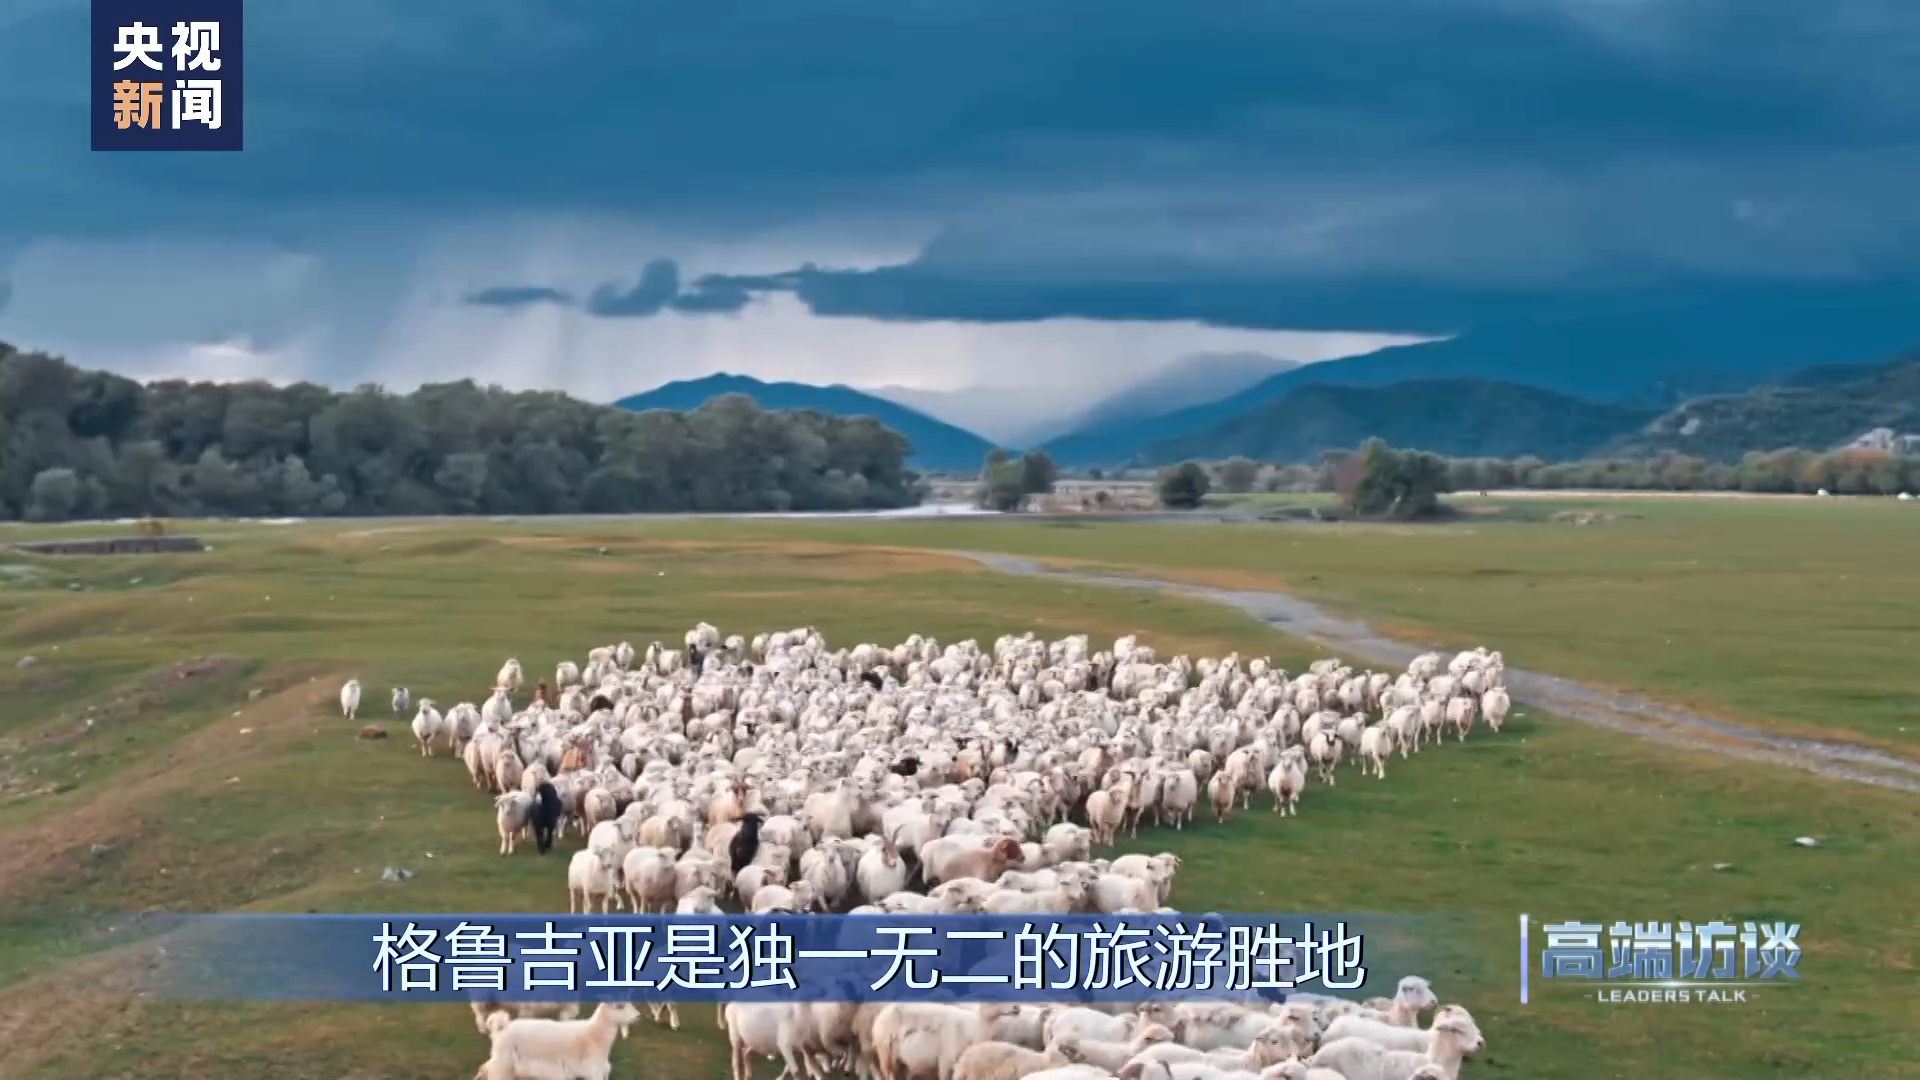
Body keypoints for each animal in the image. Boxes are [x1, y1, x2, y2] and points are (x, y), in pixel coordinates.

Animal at [474, 1001, 639, 1080]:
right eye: (619, 1006)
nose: (637, 1016)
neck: (594, 1034)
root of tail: (501, 1027)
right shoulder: (593, 1071)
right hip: (503, 1063)